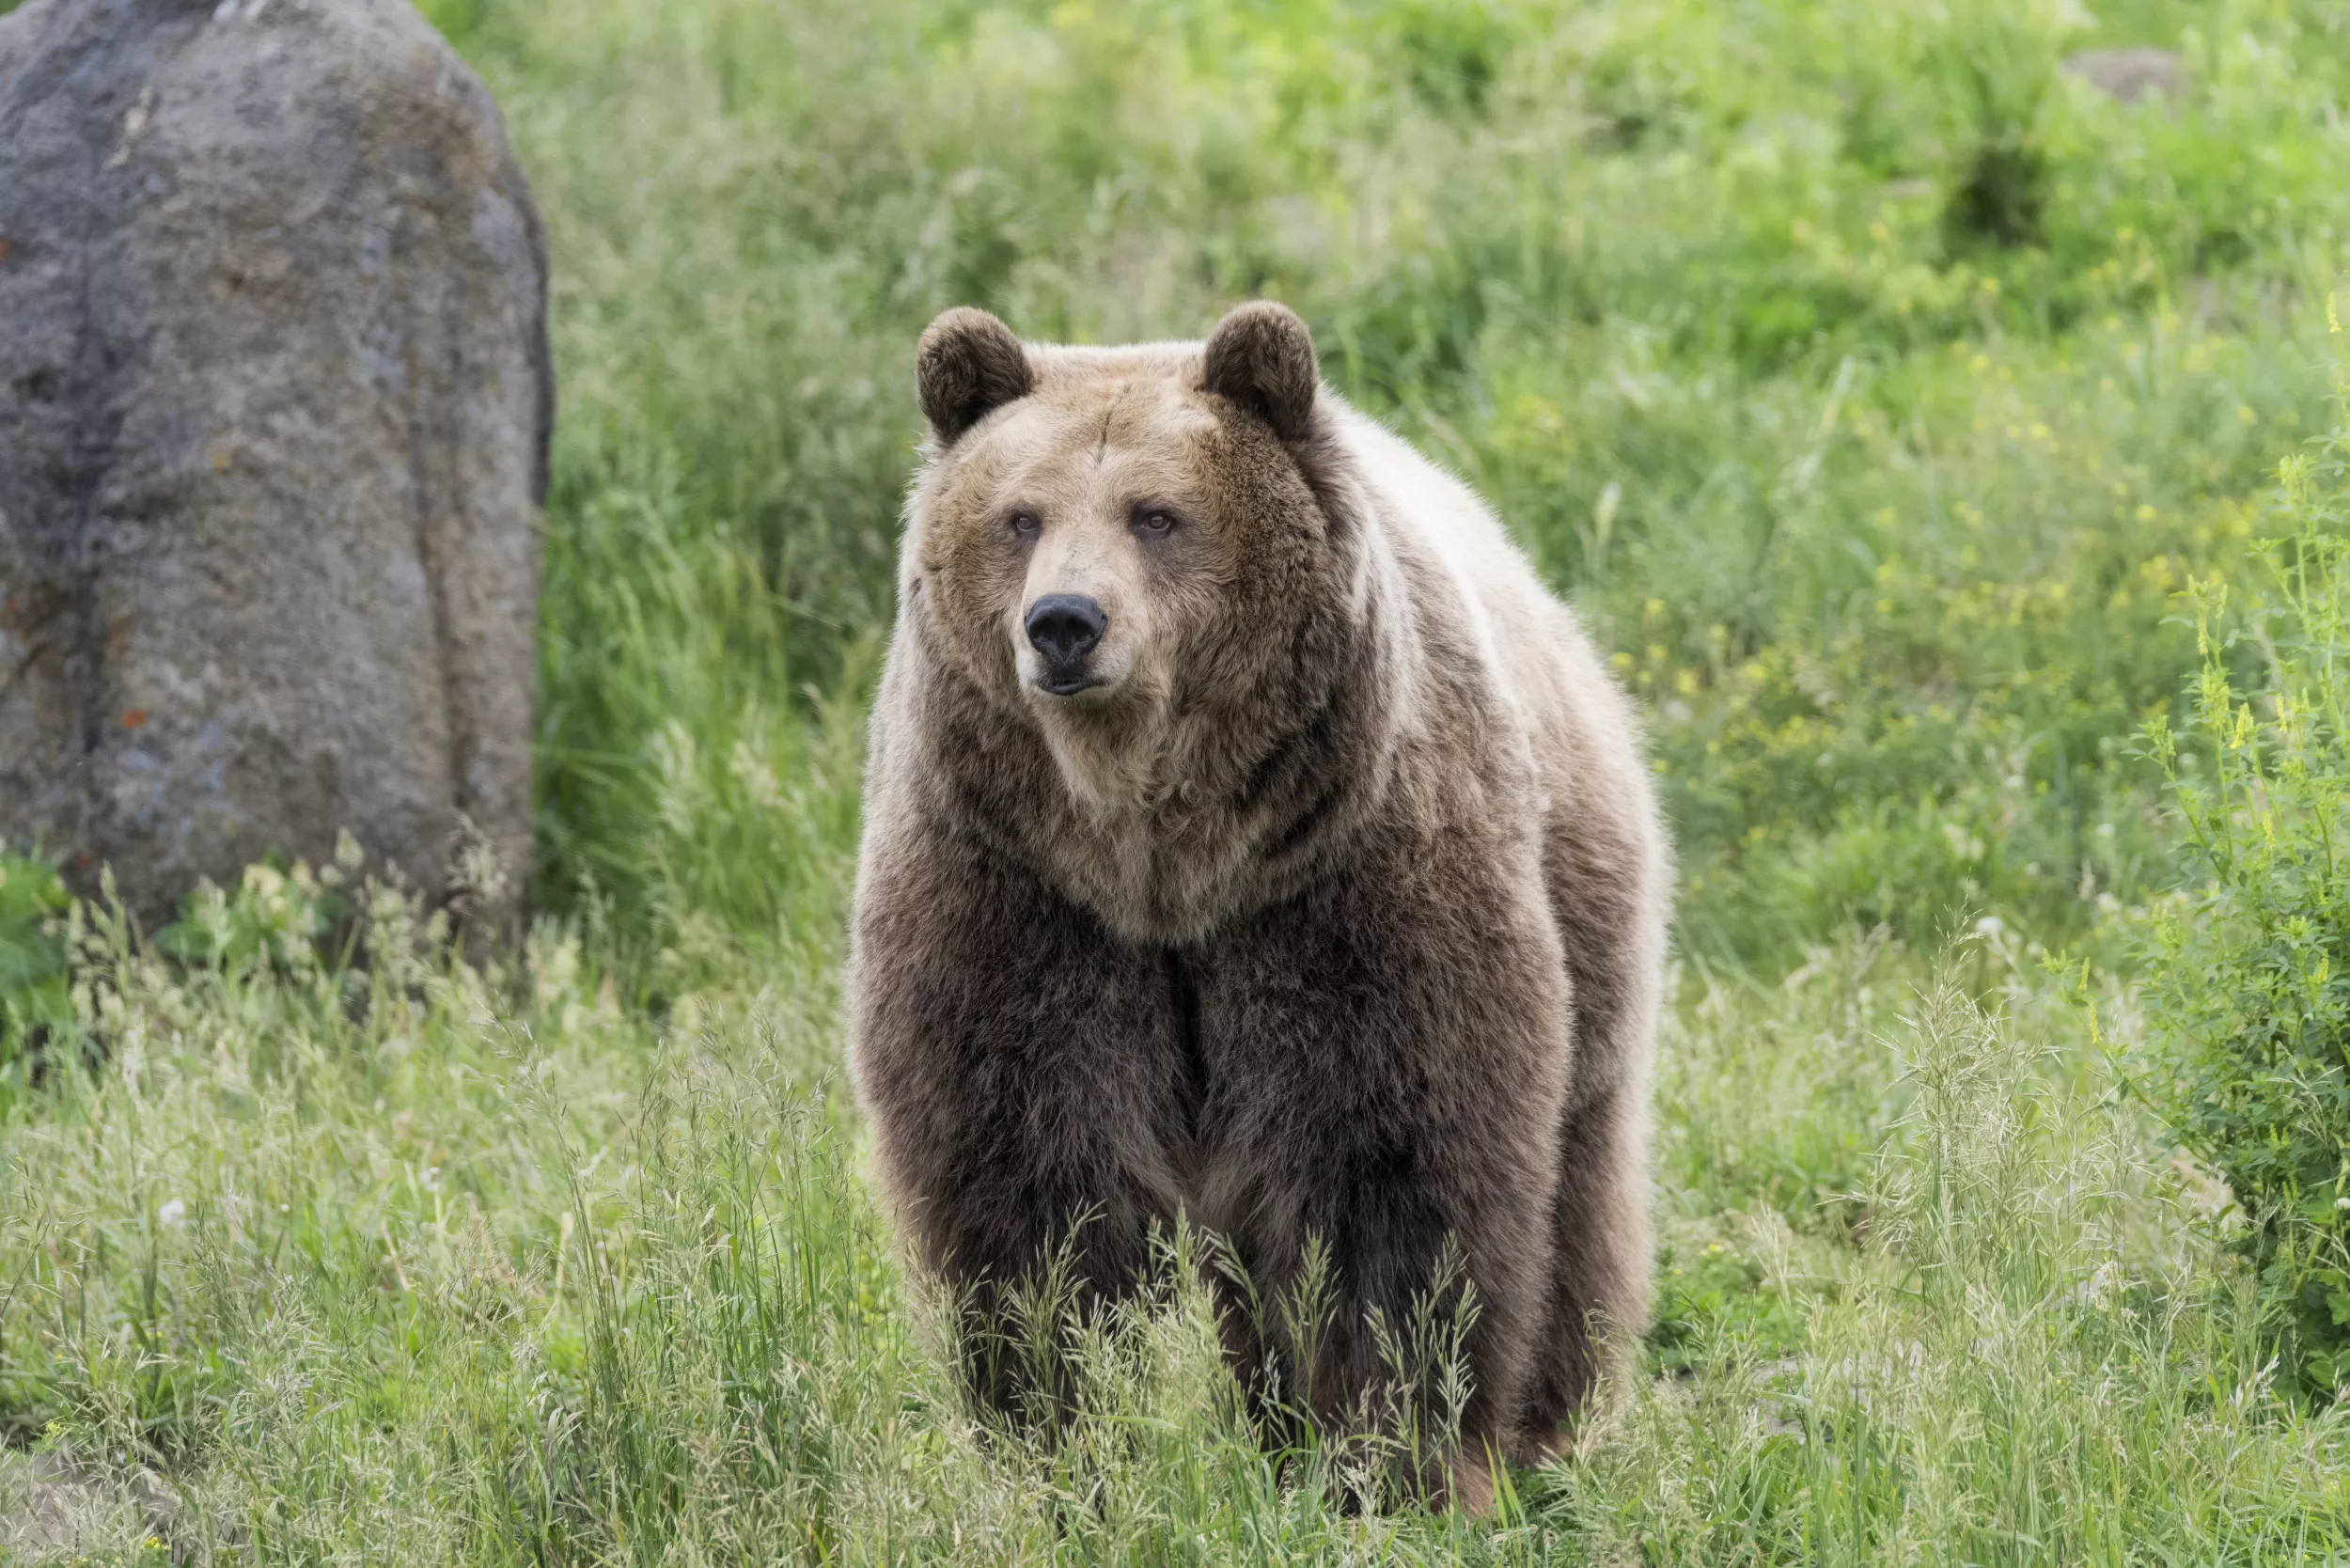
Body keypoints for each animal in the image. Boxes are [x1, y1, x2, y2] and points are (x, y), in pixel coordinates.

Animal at [847, 300, 1669, 1506]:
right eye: (1019, 516)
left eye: (1156, 513)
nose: (1063, 624)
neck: (1167, 862)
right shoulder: (1020, 894)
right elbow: (1029, 1183)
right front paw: (1062, 1443)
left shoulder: (1342, 884)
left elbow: (1392, 1175)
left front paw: (1398, 1457)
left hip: (1588, 912)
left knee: (1573, 1196)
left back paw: (1538, 1429)